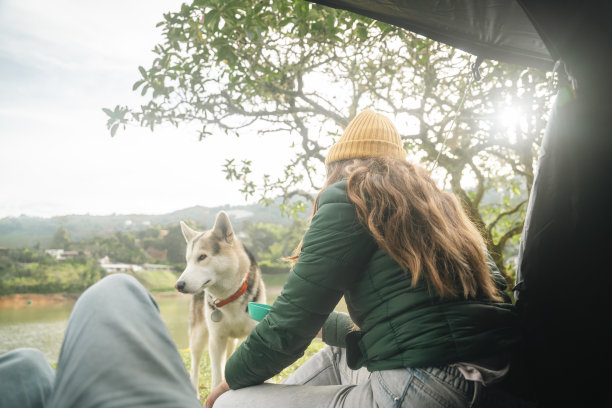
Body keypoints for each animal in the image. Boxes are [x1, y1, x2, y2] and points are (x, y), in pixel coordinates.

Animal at [175, 212, 266, 390]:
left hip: (231, 342)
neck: (230, 295)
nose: (179, 285)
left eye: (202, 257)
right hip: (198, 337)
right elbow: (217, 377)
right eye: (188, 261)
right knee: (195, 367)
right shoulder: (216, 340)